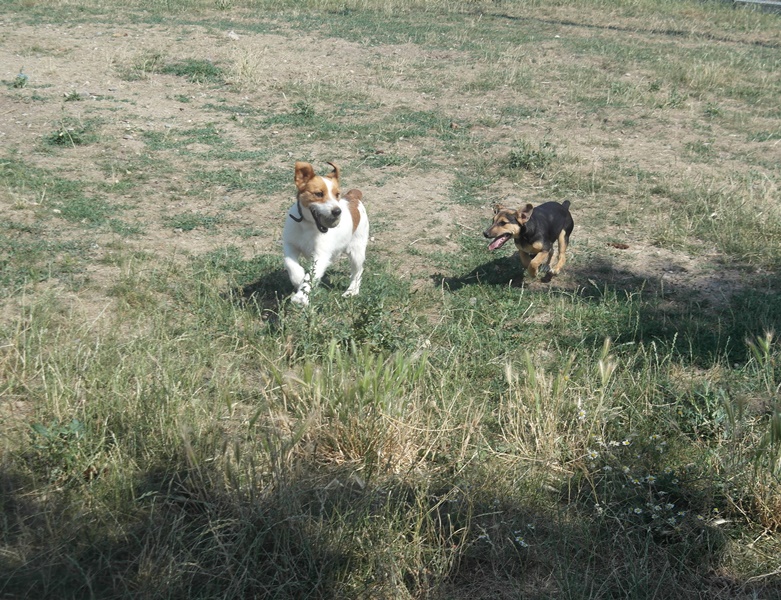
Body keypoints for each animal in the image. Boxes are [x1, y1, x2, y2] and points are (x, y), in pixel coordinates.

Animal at [282, 161, 368, 304]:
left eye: (337, 194)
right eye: (318, 194)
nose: (337, 211)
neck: (308, 225)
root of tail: (353, 196)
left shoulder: (320, 255)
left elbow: (310, 277)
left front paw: (301, 296)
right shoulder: (290, 245)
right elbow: (291, 264)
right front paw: (298, 279)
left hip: (357, 251)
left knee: (358, 271)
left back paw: (351, 291)